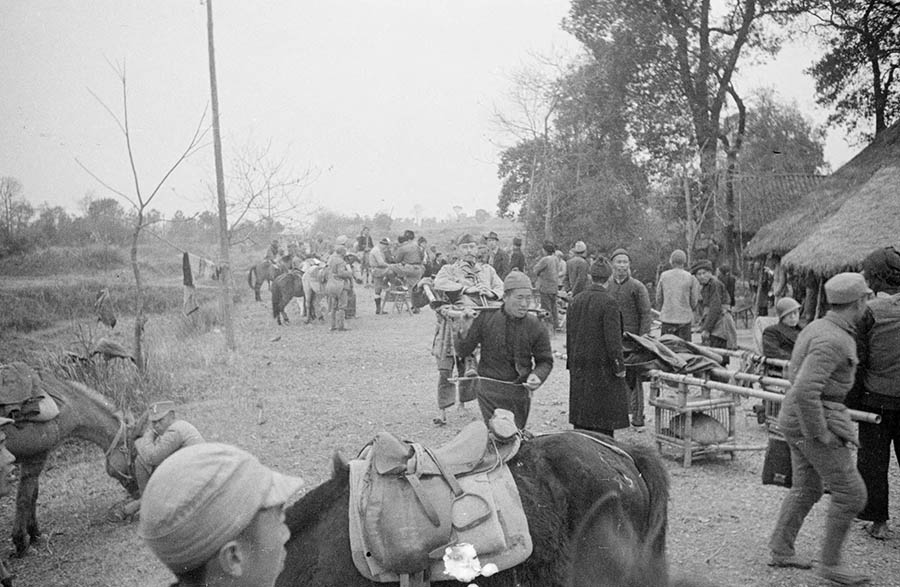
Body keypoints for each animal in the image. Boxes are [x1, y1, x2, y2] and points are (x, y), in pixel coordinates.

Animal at [3, 376, 139, 556]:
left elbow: (33, 495)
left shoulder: (37, 459)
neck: (65, 406)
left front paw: (34, 533)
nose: (138, 491)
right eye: (133, 453)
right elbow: (24, 498)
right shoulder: (35, 458)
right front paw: (20, 542)